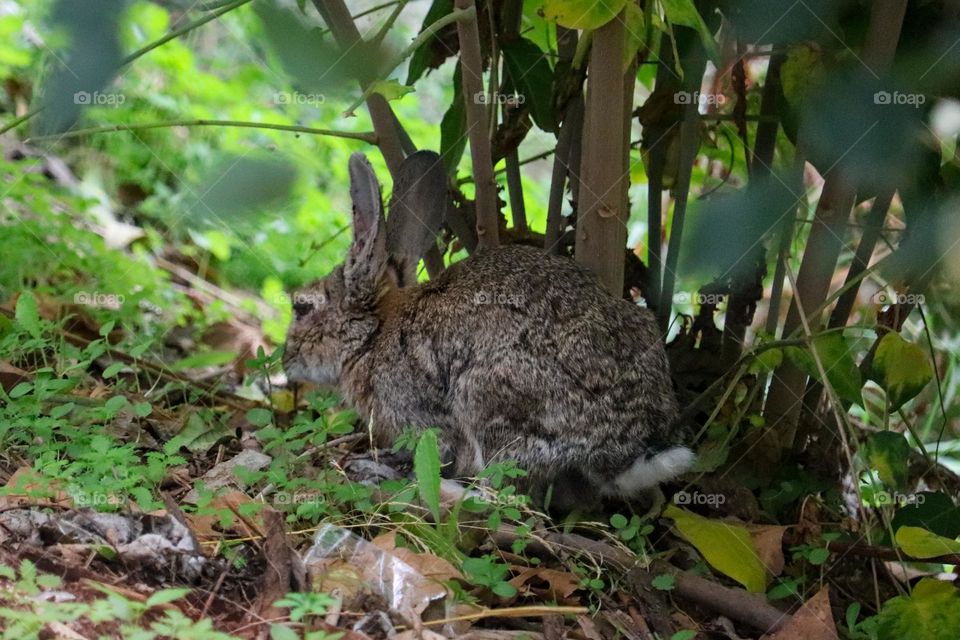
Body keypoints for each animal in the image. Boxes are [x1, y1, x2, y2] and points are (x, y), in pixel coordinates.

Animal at [282, 150, 692, 504]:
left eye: (301, 308)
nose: (286, 364)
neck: (373, 334)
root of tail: (625, 448)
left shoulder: (425, 417)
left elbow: (440, 452)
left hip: (487, 398)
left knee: (507, 496)